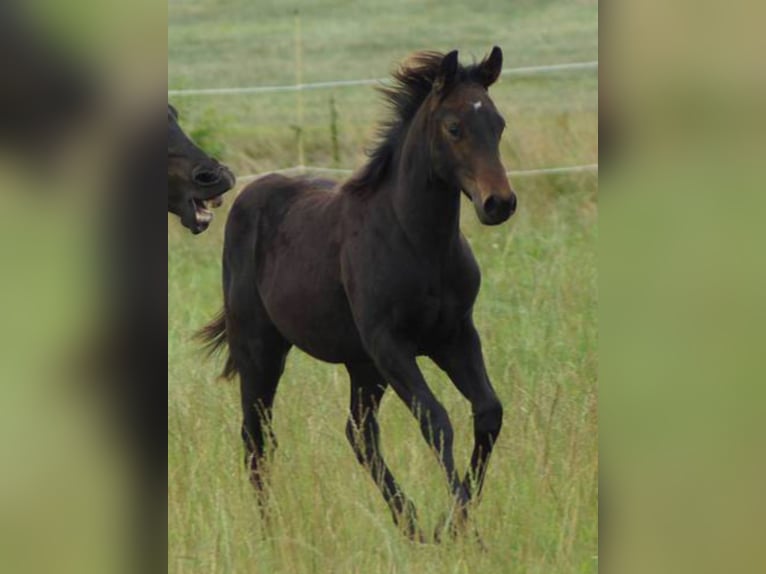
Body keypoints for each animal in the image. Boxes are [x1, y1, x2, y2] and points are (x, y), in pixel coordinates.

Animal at [199, 46, 516, 540]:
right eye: (454, 127)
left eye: (498, 124)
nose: (499, 203)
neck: (419, 242)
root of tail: (252, 194)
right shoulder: (390, 344)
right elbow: (436, 420)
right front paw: (464, 530)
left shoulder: (455, 337)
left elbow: (487, 413)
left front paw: (452, 523)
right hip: (261, 349)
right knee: (256, 436)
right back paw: (272, 531)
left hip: (362, 366)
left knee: (359, 435)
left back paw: (409, 523)